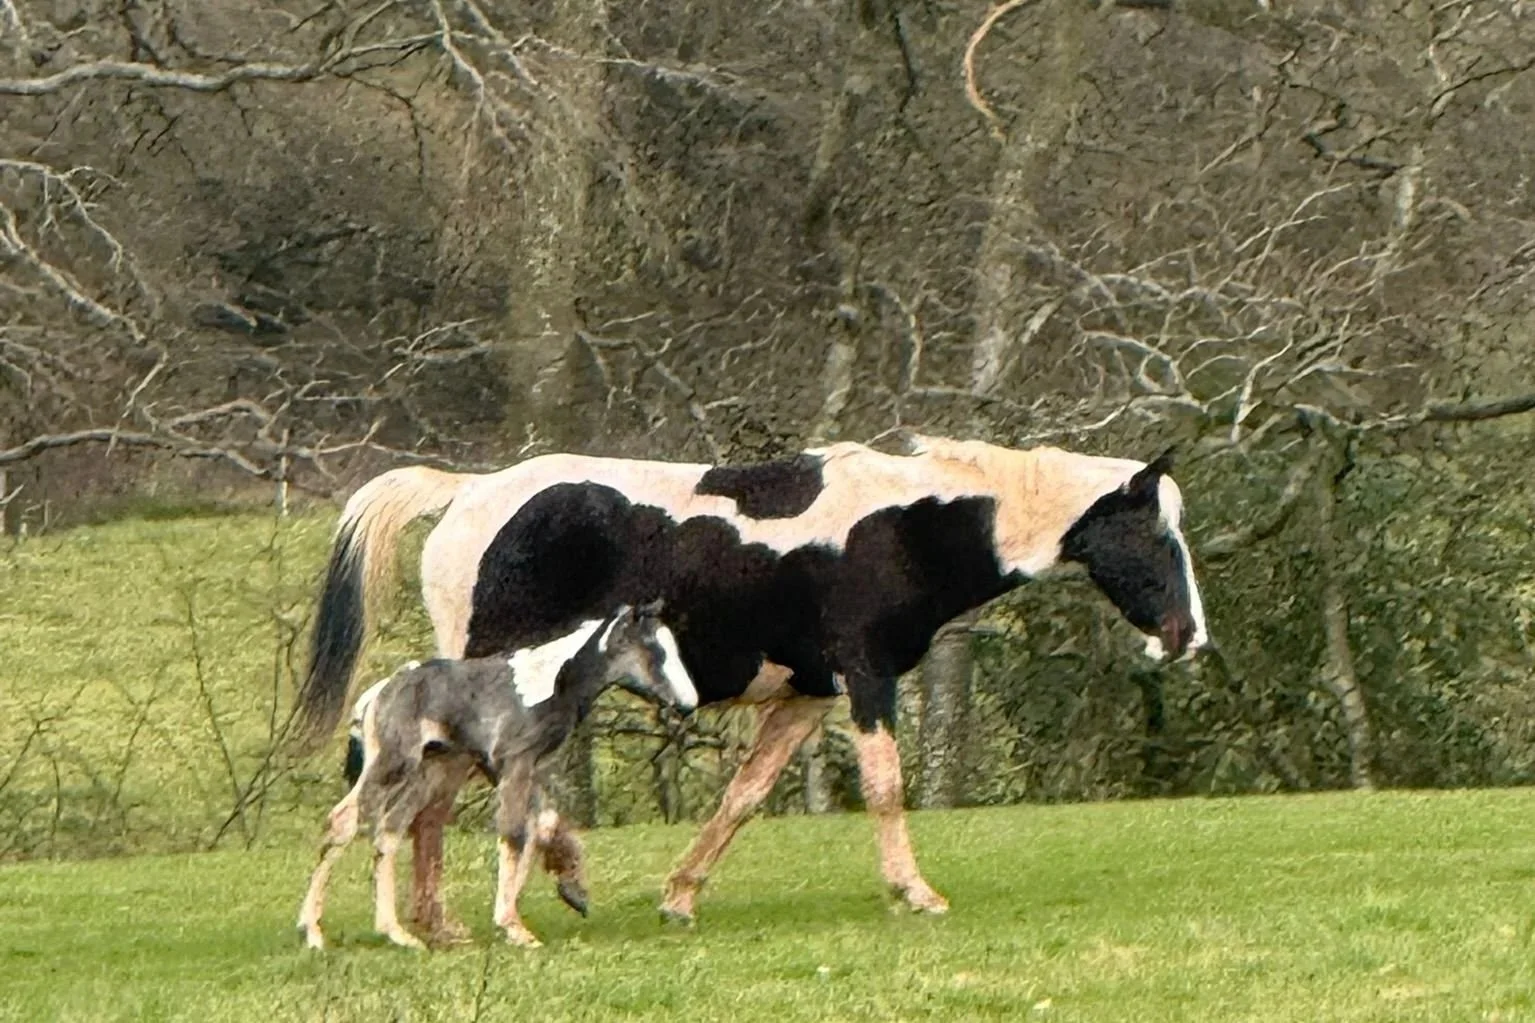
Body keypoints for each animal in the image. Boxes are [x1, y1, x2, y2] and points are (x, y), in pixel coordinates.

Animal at [297, 602, 696, 949]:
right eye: (654, 651)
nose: (689, 704)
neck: (551, 681)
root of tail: (378, 693)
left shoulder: (520, 766)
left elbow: (540, 826)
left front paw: (563, 895)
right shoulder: (514, 762)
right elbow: (514, 833)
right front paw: (513, 927)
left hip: (424, 774)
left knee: (388, 833)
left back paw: (397, 934)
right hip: (392, 765)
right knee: (343, 821)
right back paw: (313, 932)